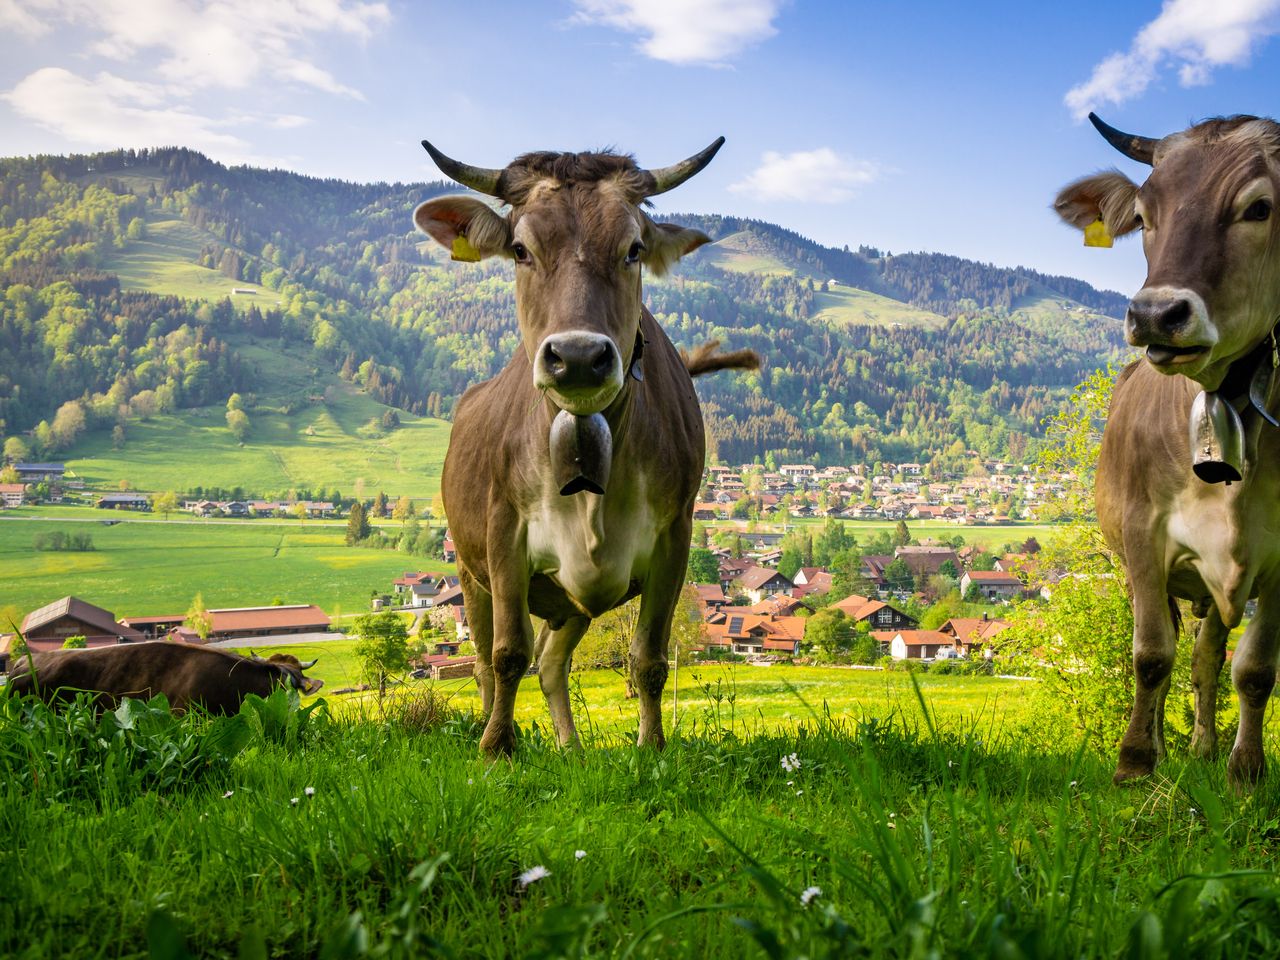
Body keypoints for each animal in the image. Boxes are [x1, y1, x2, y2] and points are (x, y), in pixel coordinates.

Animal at [414, 138, 757, 757]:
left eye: (633, 249)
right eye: (520, 250)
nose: (576, 357)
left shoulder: (675, 536)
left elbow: (649, 658)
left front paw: (652, 748)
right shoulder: (504, 532)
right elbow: (508, 654)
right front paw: (496, 748)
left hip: (569, 601)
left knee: (553, 664)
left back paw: (570, 747)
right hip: (472, 574)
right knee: (485, 662)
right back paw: (493, 727)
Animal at [1054, 112, 1280, 788]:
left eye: (1259, 207)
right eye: (1144, 215)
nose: (1156, 314)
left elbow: (1253, 670)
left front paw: (1246, 772)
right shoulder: (1142, 534)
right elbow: (1153, 654)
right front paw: (1135, 762)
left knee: (1207, 657)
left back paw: (1204, 747)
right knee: (1177, 647)